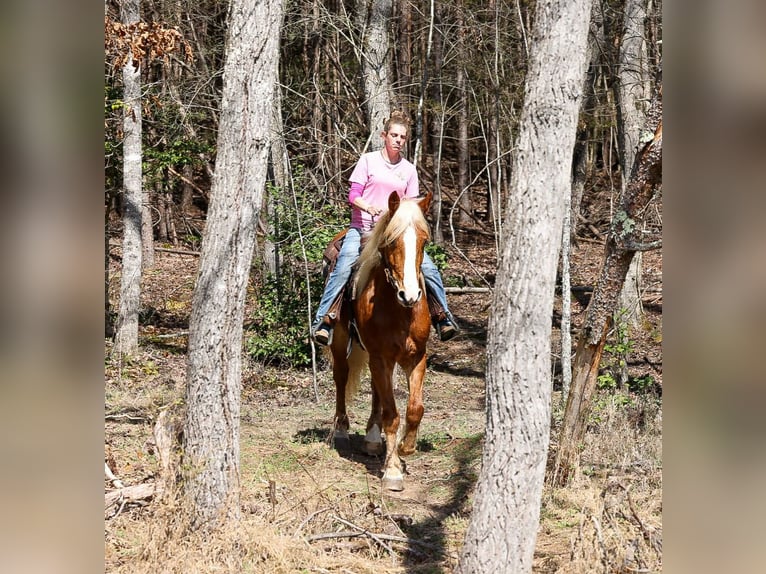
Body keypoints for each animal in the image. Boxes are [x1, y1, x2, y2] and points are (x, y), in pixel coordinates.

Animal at [329, 191, 433, 491]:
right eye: (392, 241)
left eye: (424, 240)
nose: (409, 295)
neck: (399, 311)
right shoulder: (381, 357)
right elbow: (392, 414)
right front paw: (393, 471)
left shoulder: (415, 357)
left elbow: (414, 409)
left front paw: (406, 447)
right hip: (341, 341)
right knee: (341, 377)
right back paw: (342, 430)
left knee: (376, 389)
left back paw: (373, 440)